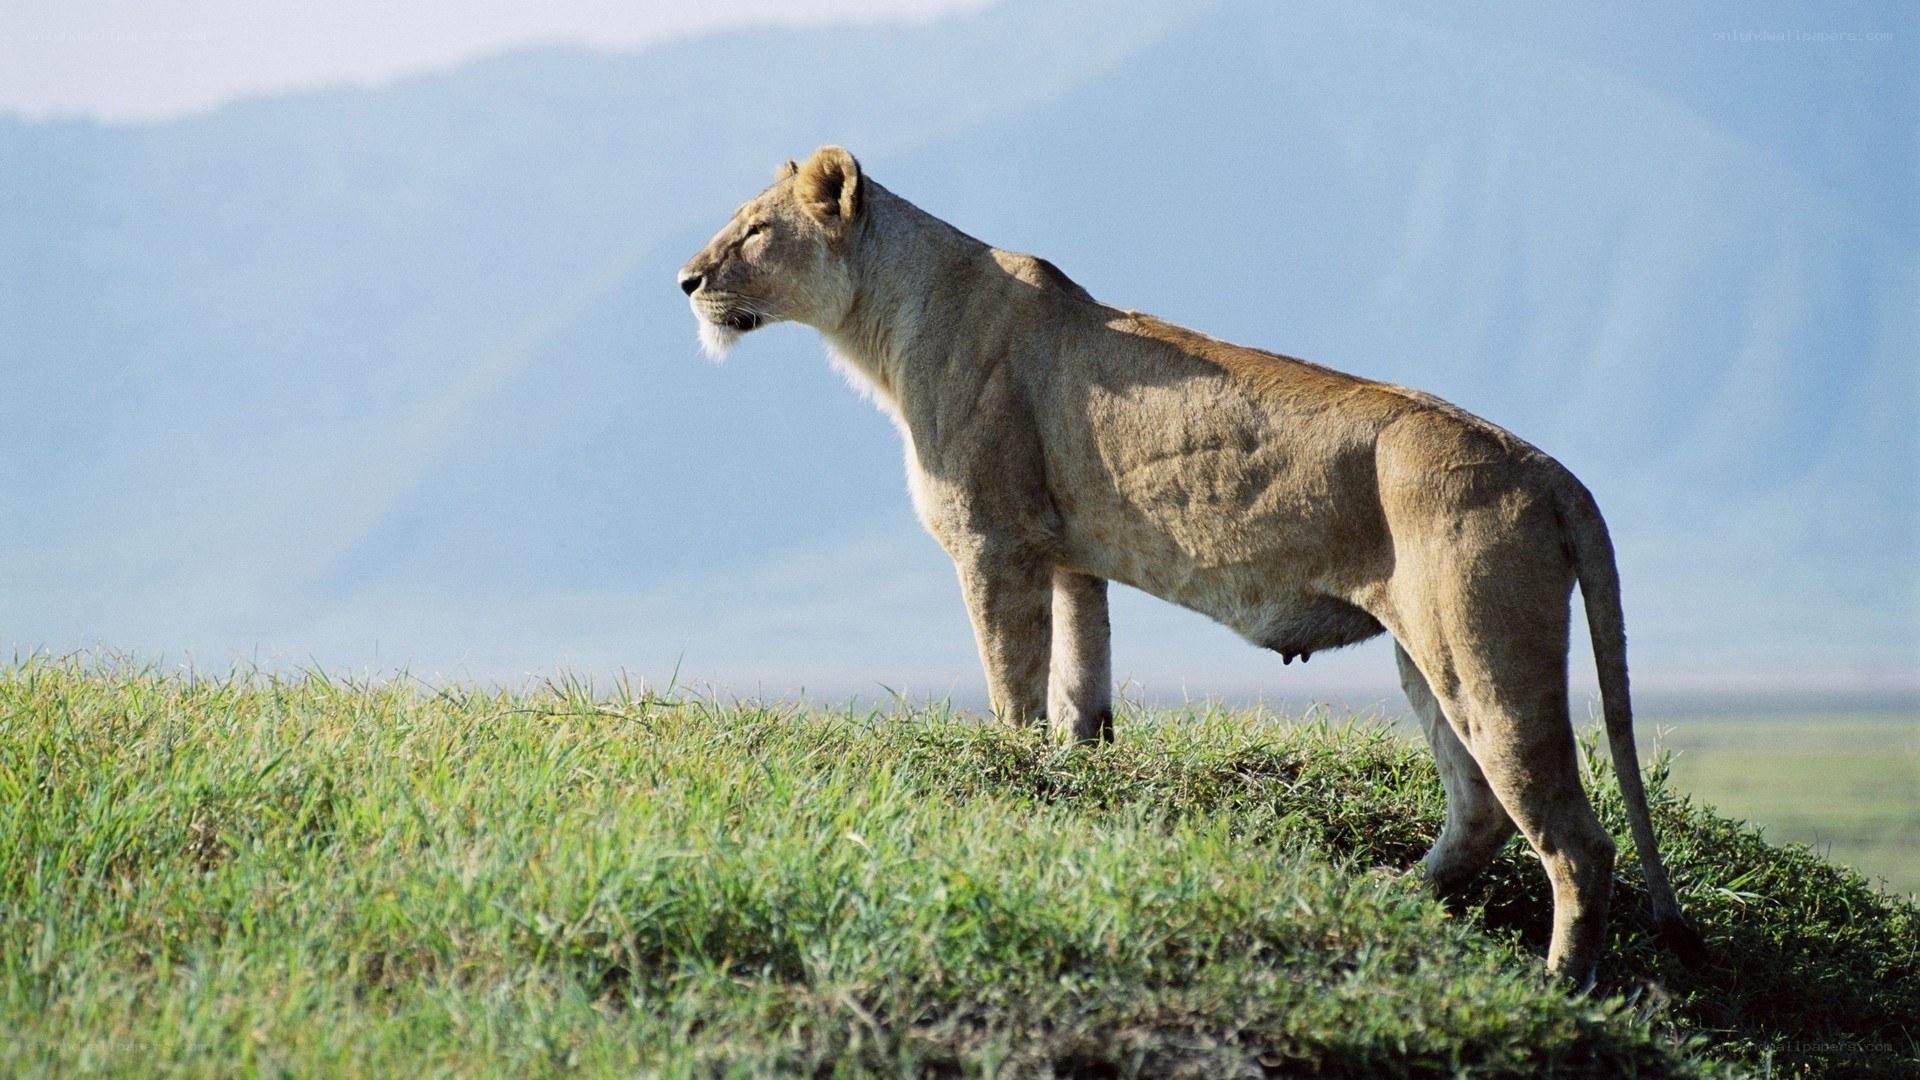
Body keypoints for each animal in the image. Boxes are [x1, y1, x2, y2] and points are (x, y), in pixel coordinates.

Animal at [678, 146, 1704, 984]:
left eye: (756, 231)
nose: (686, 280)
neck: (886, 320)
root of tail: (1550, 469)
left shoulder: (995, 545)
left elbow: (1013, 688)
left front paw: (1009, 771)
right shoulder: (1071, 558)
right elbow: (1081, 692)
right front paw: (1076, 778)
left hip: (1483, 651)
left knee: (1576, 840)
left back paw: (1562, 983)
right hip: (1426, 654)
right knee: (1482, 808)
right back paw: (1391, 898)